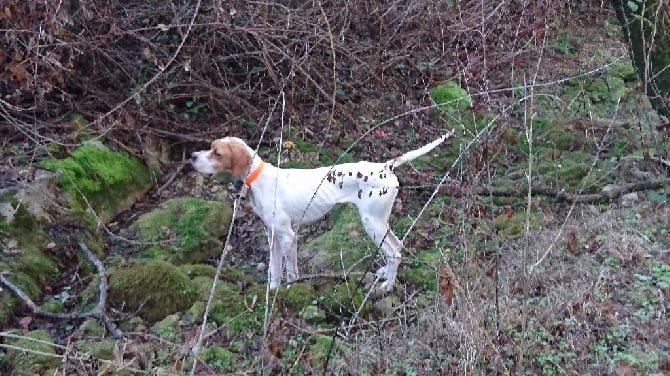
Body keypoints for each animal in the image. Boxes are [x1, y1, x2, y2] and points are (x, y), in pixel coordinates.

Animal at [192, 132, 454, 290]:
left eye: (217, 153)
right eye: (210, 148)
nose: (193, 156)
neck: (259, 179)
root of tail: (384, 166)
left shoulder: (288, 236)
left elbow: (291, 271)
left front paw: (290, 292)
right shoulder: (272, 236)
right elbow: (274, 270)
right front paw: (273, 291)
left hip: (371, 222)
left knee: (394, 253)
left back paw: (388, 286)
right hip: (380, 221)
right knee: (397, 246)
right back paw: (384, 273)